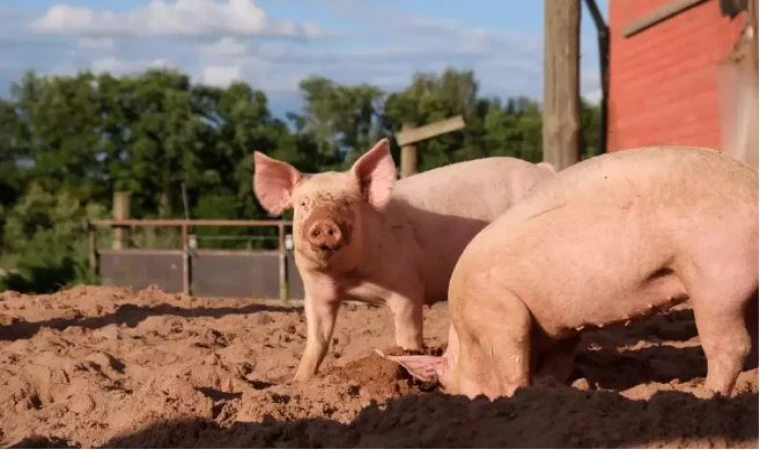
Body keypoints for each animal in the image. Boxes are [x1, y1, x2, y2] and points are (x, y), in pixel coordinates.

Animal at [252, 138, 556, 380]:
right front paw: (298, 382)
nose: (325, 225)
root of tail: (541, 170)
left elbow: (407, 337)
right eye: (304, 204)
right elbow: (317, 341)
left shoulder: (407, 287)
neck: (350, 277)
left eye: (349, 202)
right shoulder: (316, 292)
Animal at [382, 146, 756, 400]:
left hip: (715, 278)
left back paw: (707, 396)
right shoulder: (558, 327)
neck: (466, 336)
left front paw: (518, 397)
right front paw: (556, 389)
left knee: (730, 346)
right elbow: (557, 363)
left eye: (448, 386)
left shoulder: (500, 312)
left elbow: (512, 362)